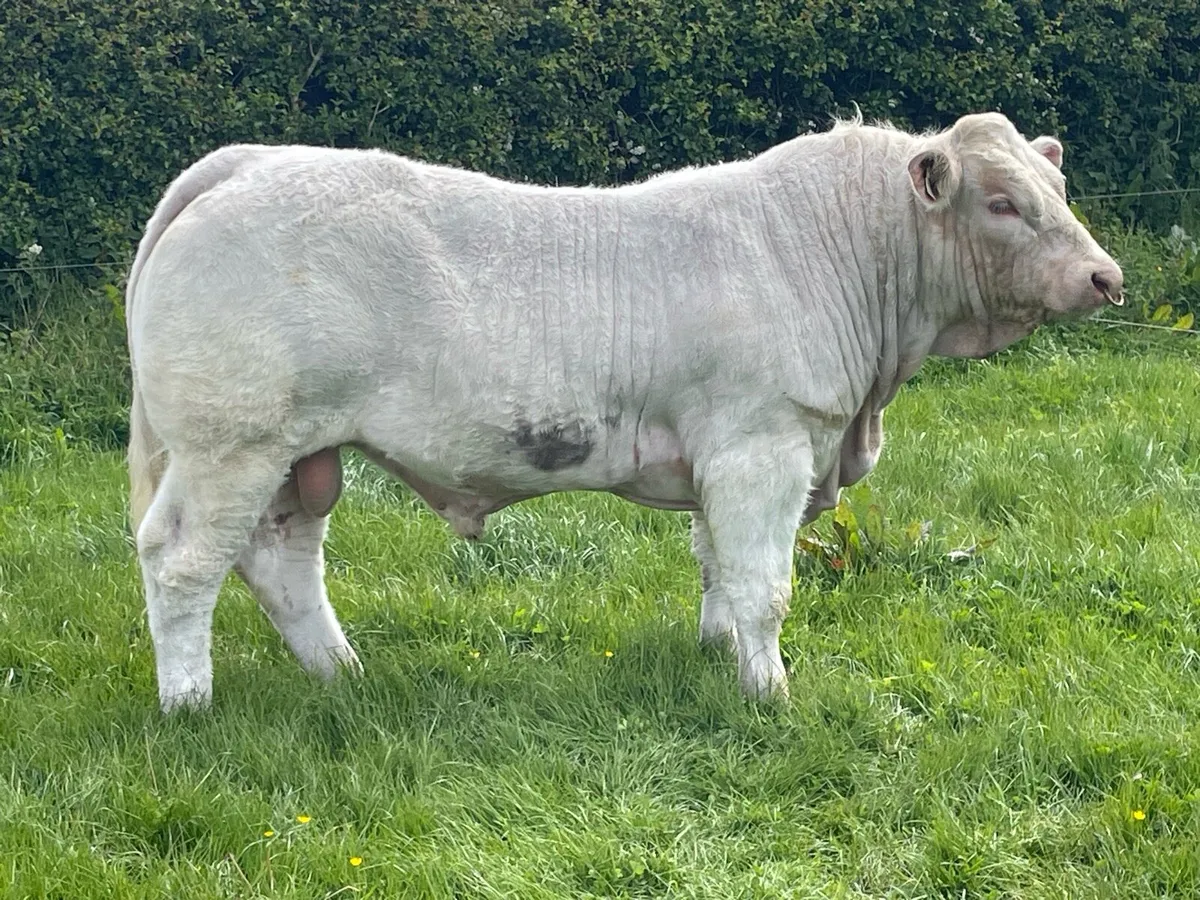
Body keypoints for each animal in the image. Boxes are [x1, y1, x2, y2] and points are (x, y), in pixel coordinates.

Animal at [125, 111, 1124, 712]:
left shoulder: (724, 456)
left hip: (298, 456)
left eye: (1059, 193)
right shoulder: (763, 447)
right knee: (182, 562)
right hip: (232, 444)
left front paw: (720, 655)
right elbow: (764, 585)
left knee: (280, 561)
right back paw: (190, 704)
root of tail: (250, 161)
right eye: (1002, 203)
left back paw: (343, 676)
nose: (1104, 277)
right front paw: (770, 693)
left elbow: (716, 567)